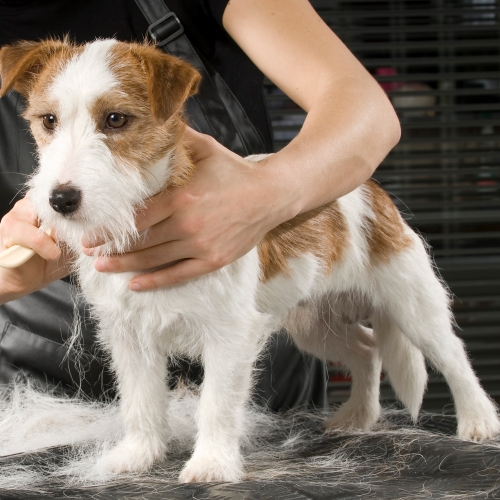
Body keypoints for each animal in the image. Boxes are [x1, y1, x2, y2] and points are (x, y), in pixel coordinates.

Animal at [0, 40, 500, 484]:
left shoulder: (228, 337)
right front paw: (137, 456)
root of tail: (374, 189)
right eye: (48, 121)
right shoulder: (130, 338)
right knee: (367, 349)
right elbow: (140, 402)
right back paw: (358, 415)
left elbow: (216, 403)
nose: (60, 199)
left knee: (453, 355)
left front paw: (212, 465)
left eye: (116, 119)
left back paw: (478, 421)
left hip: (412, 302)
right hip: (315, 322)